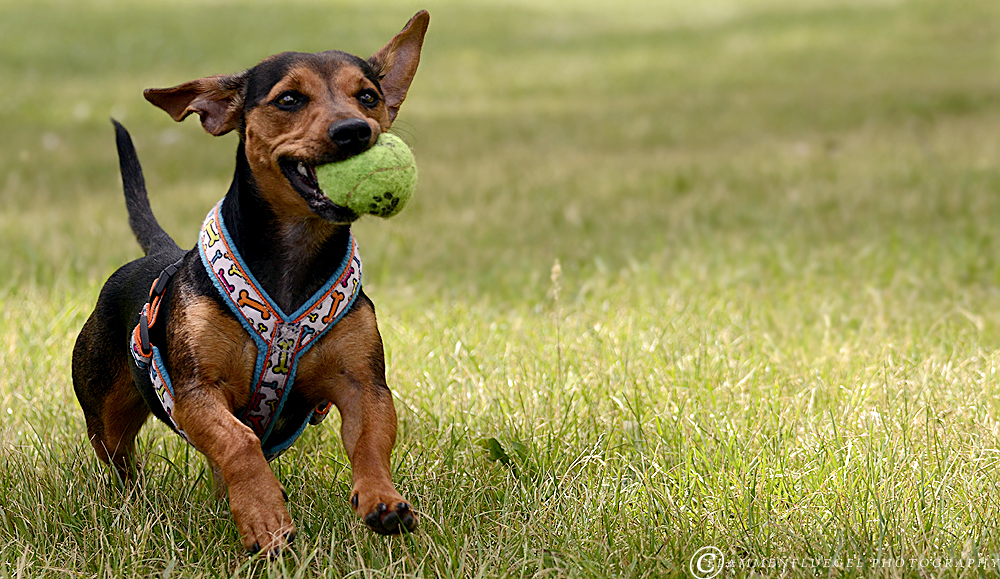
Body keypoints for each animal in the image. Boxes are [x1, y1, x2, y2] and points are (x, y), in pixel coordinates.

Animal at [70, 9, 430, 552]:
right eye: (289, 99)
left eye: (368, 95)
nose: (354, 130)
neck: (292, 264)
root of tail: (157, 254)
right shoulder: (197, 393)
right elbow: (239, 442)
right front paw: (265, 516)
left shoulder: (364, 384)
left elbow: (371, 439)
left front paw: (382, 500)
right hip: (106, 416)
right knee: (122, 463)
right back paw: (138, 507)